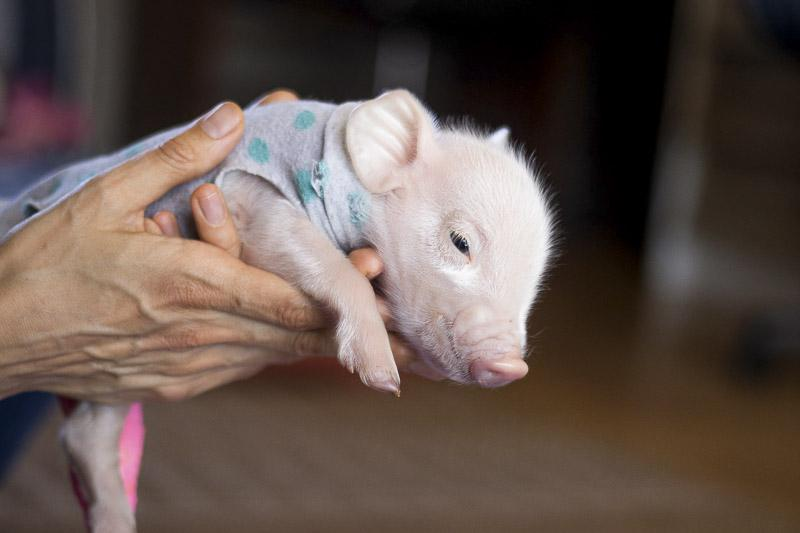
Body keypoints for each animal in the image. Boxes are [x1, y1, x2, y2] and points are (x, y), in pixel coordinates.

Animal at [2, 90, 553, 532]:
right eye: (460, 242)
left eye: (537, 274)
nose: (510, 366)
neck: (338, 172)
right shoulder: (239, 192)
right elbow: (315, 253)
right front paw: (382, 379)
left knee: (86, 436)